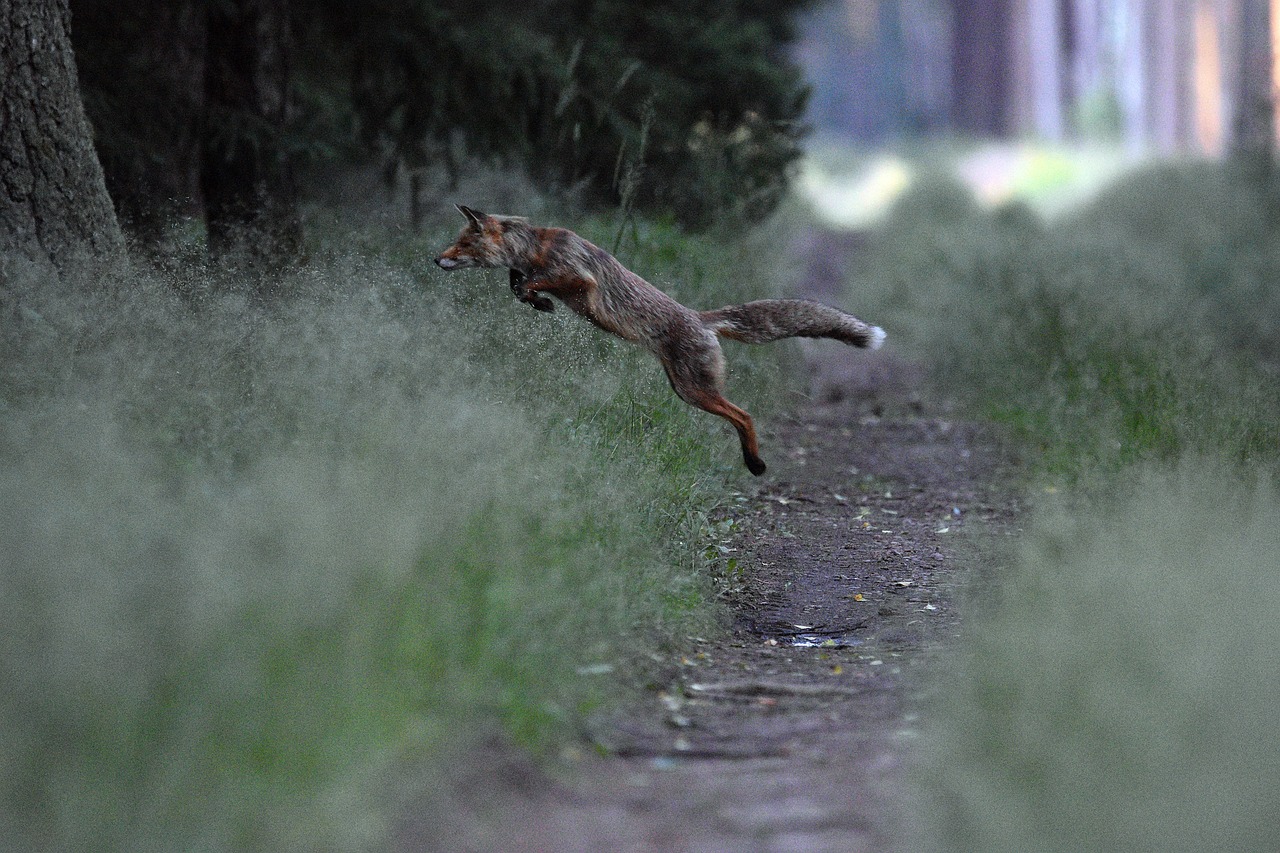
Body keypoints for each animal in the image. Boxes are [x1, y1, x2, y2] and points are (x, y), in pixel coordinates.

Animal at [435, 203, 885, 473]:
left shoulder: (579, 278)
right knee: (738, 415)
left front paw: (537, 297)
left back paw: (755, 463)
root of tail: (701, 319)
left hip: (693, 389)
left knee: (744, 414)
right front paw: (537, 302)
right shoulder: (536, 273)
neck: (537, 247)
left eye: (462, 243)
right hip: (684, 388)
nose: (435, 259)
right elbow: (516, 283)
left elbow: (531, 281)